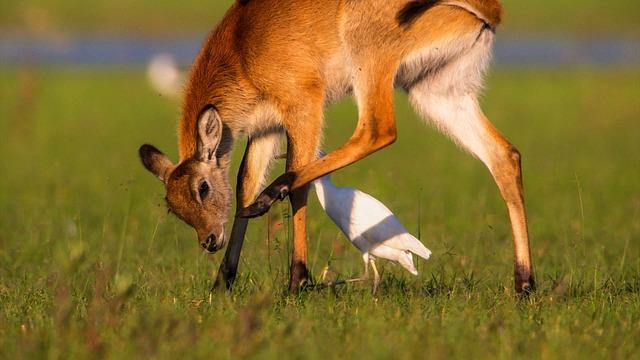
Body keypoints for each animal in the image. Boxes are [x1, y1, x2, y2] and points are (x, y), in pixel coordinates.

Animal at [139, 0, 536, 294]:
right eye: (172, 205)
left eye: (202, 187)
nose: (209, 240)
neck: (243, 45)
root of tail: (489, 9)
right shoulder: (265, 130)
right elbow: (243, 187)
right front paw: (222, 282)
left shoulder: (303, 107)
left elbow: (296, 180)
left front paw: (297, 280)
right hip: (437, 92)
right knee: (504, 155)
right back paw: (524, 285)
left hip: (372, 66)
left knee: (377, 130)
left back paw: (275, 198)